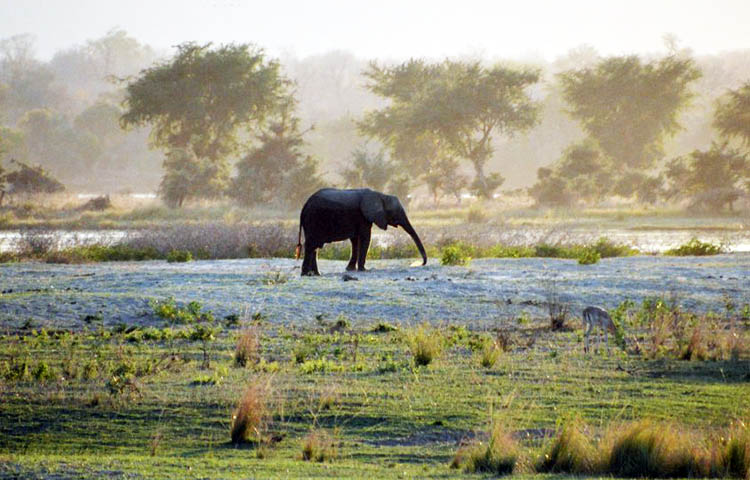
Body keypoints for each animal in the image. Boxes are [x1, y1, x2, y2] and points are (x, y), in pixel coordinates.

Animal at [298, 188, 428, 276]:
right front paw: (364, 270)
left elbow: (355, 240)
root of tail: (304, 206)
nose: (419, 263)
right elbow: (365, 237)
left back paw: (315, 274)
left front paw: (350, 269)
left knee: (314, 245)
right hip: (314, 219)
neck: (380, 195)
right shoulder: (363, 216)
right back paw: (305, 274)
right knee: (311, 244)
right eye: (395, 212)